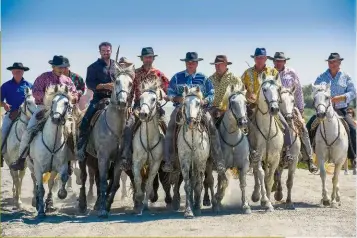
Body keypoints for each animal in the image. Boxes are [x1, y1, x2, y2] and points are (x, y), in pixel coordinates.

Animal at [28, 85, 74, 218]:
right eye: (53, 102)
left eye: (66, 103)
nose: (56, 118)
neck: (52, 143)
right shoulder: (38, 168)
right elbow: (40, 188)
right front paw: (40, 211)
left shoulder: (61, 165)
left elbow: (63, 177)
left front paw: (61, 194)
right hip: (31, 166)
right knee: (35, 181)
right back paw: (36, 201)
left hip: (52, 170)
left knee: (50, 183)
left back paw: (48, 203)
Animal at [130, 79, 165, 214]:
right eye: (140, 98)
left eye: (154, 99)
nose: (143, 114)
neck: (149, 139)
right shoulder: (137, 161)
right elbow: (138, 179)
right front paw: (138, 198)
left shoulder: (155, 163)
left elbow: (150, 182)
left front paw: (145, 203)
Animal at [177, 86, 210, 218]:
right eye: (184, 103)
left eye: (198, 103)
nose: (191, 122)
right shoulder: (185, 162)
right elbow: (187, 185)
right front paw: (188, 210)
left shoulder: (200, 162)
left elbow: (199, 184)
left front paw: (197, 208)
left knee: (197, 181)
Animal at [214, 83, 250, 214]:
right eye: (233, 102)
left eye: (245, 102)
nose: (243, 122)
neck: (233, 142)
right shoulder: (222, 166)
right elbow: (223, 183)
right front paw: (217, 202)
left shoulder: (244, 165)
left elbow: (243, 184)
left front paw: (245, 205)